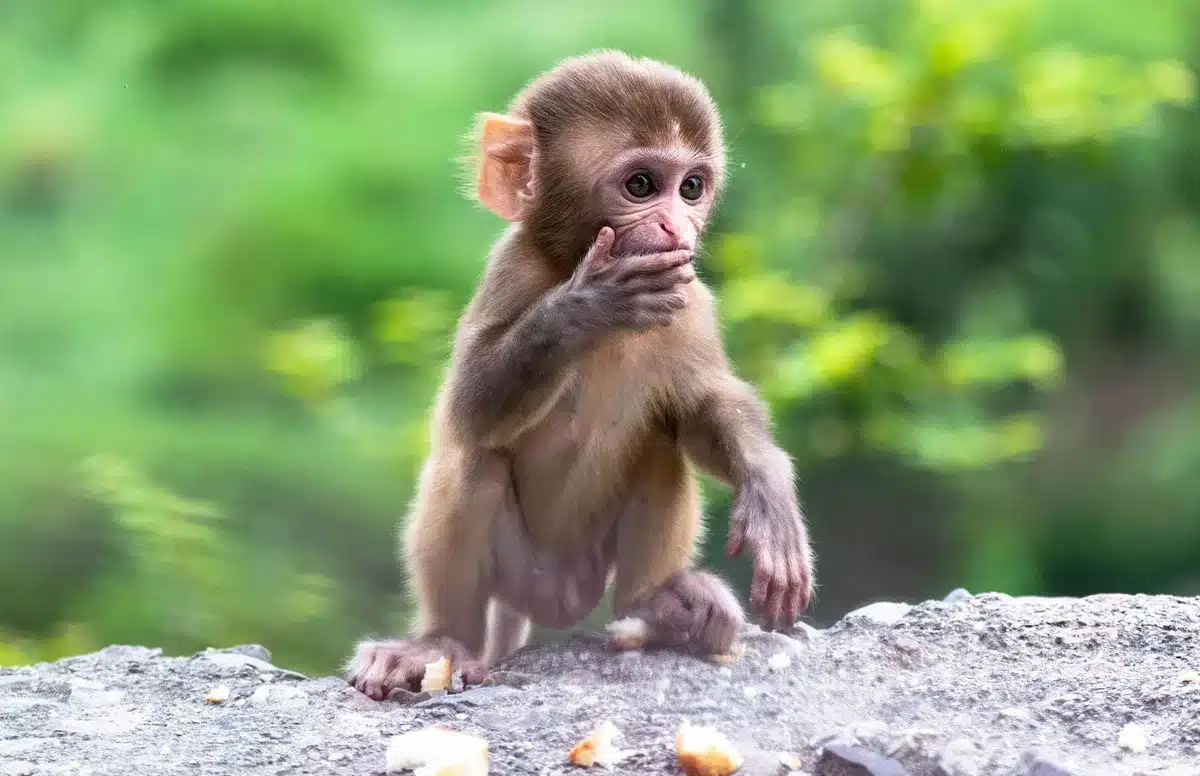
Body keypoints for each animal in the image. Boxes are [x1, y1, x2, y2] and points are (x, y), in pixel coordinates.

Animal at [346, 51, 815, 700]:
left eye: (691, 188)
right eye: (641, 186)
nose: (678, 228)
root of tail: (557, 601)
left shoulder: (691, 301)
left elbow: (702, 408)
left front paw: (768, 486)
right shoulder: (511, 270)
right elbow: (471, 411)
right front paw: (588, 305)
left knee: (660, 445)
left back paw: (661, 608)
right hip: (521, 574)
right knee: (473, 460)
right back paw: (441, 643)